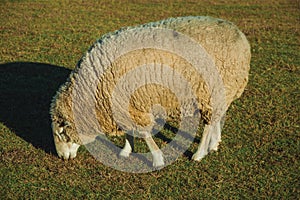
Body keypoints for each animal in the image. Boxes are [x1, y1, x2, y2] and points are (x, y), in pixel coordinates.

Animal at [49, 16, 251, 168]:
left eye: (61, 134)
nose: (61, 157)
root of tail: (240, 35)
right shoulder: (123, 104)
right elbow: (130, 131)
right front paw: (126, 151)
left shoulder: (130, 104)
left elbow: (145, 134)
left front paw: (157, 159)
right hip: (220, 89)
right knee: (217, 116)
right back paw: (214, 144)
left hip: (209, 90)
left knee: (209, 124)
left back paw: (199, 153)